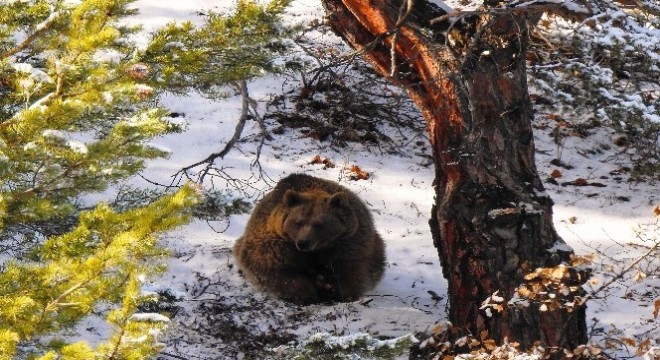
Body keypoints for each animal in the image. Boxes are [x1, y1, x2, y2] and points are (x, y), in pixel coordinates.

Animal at [233, 173, 384, 302]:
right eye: (298, 222)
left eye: (319, 224)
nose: (303, 243)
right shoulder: (274, 243)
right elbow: (273, 269)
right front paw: (306, 291)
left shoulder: (349, 243)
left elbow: (350, 272)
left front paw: (332, 287)